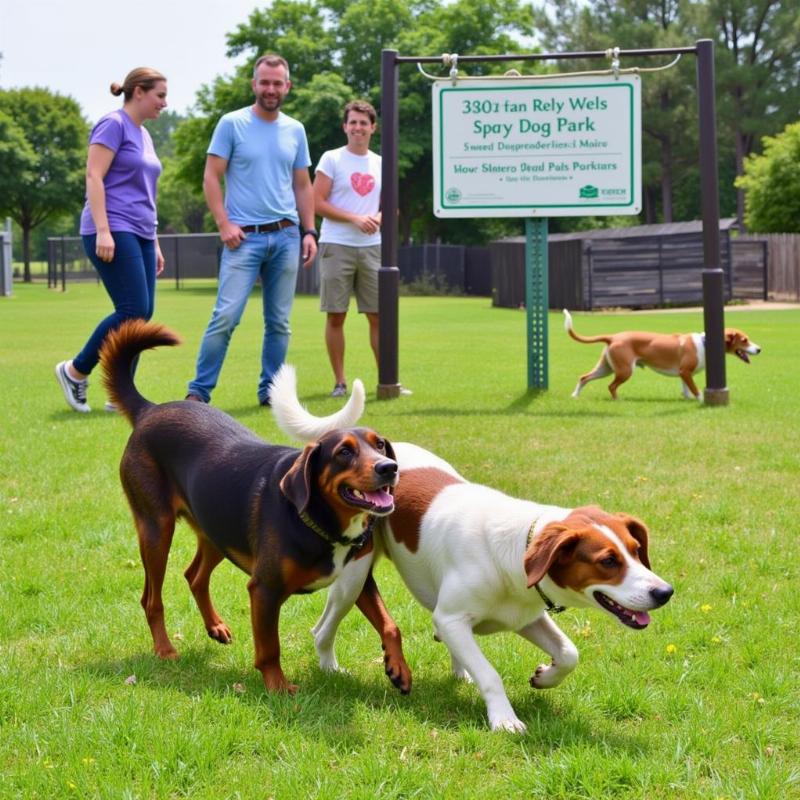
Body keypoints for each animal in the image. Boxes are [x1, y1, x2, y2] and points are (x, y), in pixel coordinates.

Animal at [100, 318, 410, 692]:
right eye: (344, 452)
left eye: (380, 445)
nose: (388, 468)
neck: (316, 520)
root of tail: (150, 410)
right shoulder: (264, 590)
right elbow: (269, 647)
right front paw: (278, 687)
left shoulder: (358, 579)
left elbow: (391, 624)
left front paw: (398, 668)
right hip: (157, 529)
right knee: (151, 598)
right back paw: (165, 648)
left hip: (217, 530)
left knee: (194, 576)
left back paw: (215, 626)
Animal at [270, 368, 676, 732]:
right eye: (608, 561)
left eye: (636, 550)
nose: (665, 592)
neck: (514, 551)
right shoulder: (451, 618)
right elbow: (490, 673)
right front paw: (504, 719)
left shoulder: (524, 617)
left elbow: (568, 653)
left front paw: (545, 676)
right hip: (354, 575)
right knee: (323, 628)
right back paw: (330, 667)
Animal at [564, 310, 764, 400]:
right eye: (745, 340)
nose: (759, 349)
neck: (705, 342)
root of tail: (613, 337)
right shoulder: (686, 372)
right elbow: (696, 390)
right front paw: (700, 400)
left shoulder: (684, 374)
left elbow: (686, 390)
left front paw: (688, 400)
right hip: (624, 370)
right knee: (611, 386)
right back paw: (617, 400)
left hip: (606, 368)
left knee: (584, 377)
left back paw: (575, 395)